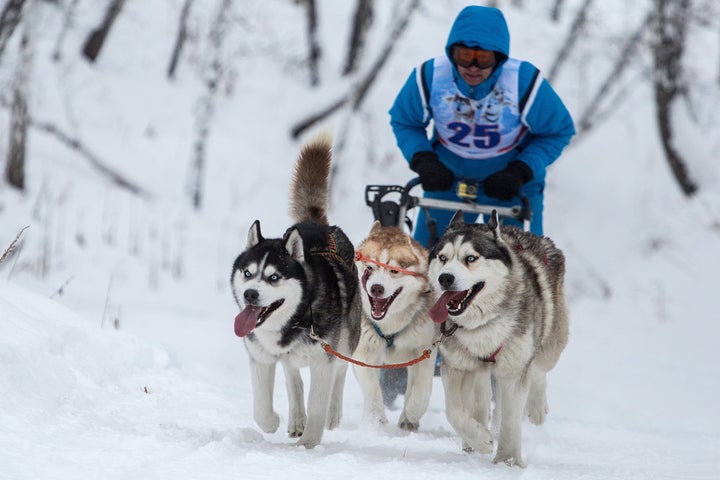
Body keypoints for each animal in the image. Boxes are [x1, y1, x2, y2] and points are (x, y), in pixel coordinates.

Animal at [232, 134, 360, 446]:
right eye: (248, 273)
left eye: (274, 277)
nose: (250, 294)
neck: (297, 318)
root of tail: (314, 223)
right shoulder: (261, 357)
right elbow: (261, 408)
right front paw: (272, 423)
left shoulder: (324, 360)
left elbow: (318, 403)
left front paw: (308, 445)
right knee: (293, 377)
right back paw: (295, 418)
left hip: (347, 340)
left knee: (341, 371)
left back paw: (332, 414)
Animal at [352, 224, 436, 432]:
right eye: (370, 267)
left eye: (394, 271)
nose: (376, 288)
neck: (391, 322)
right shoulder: (365, 353)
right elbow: (372, 386)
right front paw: (376, 420)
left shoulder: (423, 349)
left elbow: (422, 388)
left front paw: (412, 412)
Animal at [428, 210, 568, 464]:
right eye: (443, 258)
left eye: (470, 258)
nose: (445, 278)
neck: (483, 324)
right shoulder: (455, 366)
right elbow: (454, 411)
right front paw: (480, 440)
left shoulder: (514, 371)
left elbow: (512, 423)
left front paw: (508, 461)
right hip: (480, 370)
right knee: (482, 401)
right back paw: (475, 438)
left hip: (549, 346)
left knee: (538, 368)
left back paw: (536, 407)